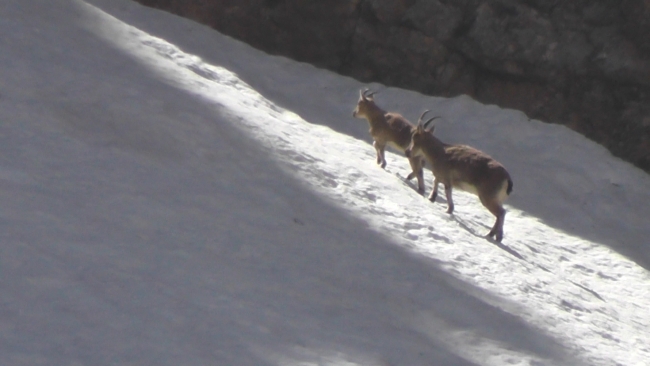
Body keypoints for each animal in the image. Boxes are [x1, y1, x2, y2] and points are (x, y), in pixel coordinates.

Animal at [404, 112, 512, 243]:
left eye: (414, 137)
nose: (407, 152)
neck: (440, 152)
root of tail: (507, 179)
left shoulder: (446, 178)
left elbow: (445, 190)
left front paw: (447, 208)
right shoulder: (444, 178)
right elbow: (437, 181)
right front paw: (433, 198)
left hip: (488, 197)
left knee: (501, 213)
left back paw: (493, 235)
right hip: (496, 199)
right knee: (500, 213)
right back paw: (494, 235)